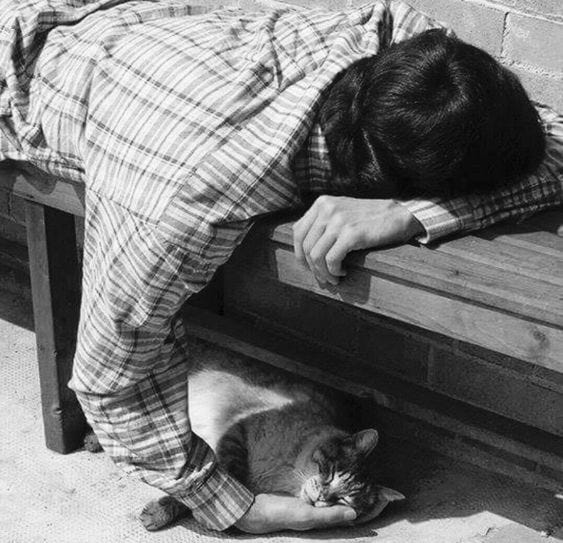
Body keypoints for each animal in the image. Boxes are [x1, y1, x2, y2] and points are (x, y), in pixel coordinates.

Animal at [140, 340, 406, 532]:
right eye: (331, 472)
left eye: (344, 500)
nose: (322, 496)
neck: (285, 474)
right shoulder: (236, 432)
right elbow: (216, 476)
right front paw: (160, 510)